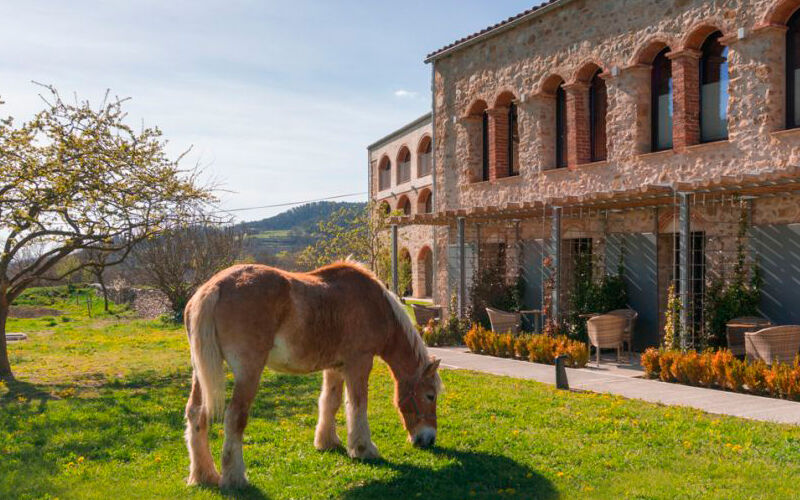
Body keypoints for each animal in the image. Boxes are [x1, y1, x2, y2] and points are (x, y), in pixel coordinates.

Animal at [182, 262, 444, 488]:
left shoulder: (335, 367)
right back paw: (234, 478)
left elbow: (330, 402)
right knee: (235, 417)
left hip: (201, 373)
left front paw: (327, 442)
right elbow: (358, 405)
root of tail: (214, 287)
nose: (429, 438)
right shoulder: (359, 363)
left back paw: (205, 475)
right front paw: (363, 449)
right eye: (430, 396)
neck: (374, 303)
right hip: (248, 373)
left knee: (196, 413)